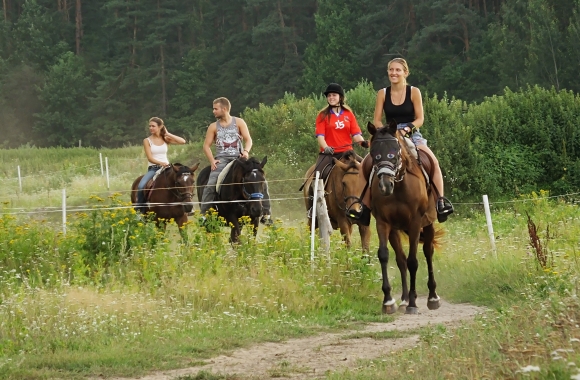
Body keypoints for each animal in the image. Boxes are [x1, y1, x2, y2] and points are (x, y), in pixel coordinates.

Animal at [364, 121, 442, 314]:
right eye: (373, 153)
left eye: (395, 150)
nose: (385, 185)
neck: (399, 186)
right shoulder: (383, 223)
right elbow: (384, 255)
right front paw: (388, 301)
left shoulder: (415, 223)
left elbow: (413, 261)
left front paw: (414, 303)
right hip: (395, 230)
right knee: (400, 260)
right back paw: (404, 300)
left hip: (427, 224)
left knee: (428, 252)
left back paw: (432, 297)